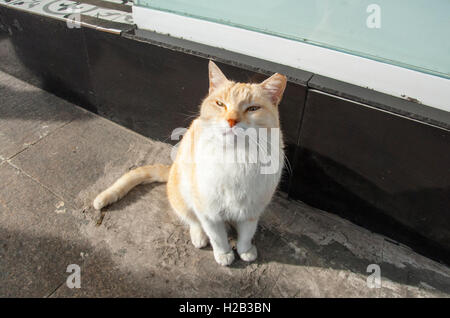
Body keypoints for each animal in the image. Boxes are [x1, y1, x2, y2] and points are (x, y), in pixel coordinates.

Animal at [93, 60, 286, 266]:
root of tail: (172, 169)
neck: (236, 156)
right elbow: (217, 236)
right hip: (183, 195)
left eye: (253, 109)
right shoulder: (208, 211)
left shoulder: (251, 211)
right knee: (192, 219)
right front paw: (224, 253)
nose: (231, 120)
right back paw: (199, 236)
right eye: (220, 104)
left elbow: (247, 234)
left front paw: (245, 250)